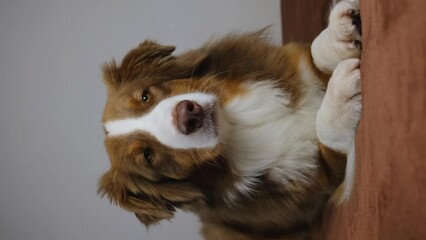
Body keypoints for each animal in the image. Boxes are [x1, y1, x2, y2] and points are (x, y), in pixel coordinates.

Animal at [98, 0, 362, 239]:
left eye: (145, 95)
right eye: (148, 156)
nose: (187, 115)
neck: (237, 125)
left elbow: (314, 52)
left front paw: (339, 35)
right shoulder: (321, 179)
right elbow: (327, 134)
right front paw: (343, 96)